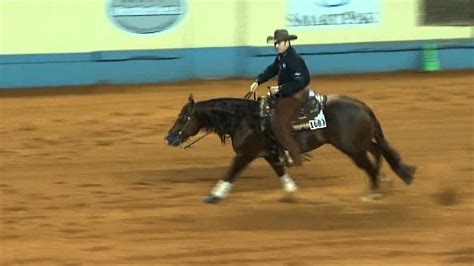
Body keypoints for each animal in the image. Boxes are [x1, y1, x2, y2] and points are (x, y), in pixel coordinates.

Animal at [166, 92, 414, 203]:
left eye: (183, 118)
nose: (169, 138)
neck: (246, 119)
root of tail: (362, 105)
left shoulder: (246, 154)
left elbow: (231, 172)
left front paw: (214, 195)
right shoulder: (267, 153)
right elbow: (280, 170)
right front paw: (291, 191)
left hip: (353, 149)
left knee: (371, 165)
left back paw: (373, 193)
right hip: (361, 143)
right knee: (379, 151)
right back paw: (383, 182)